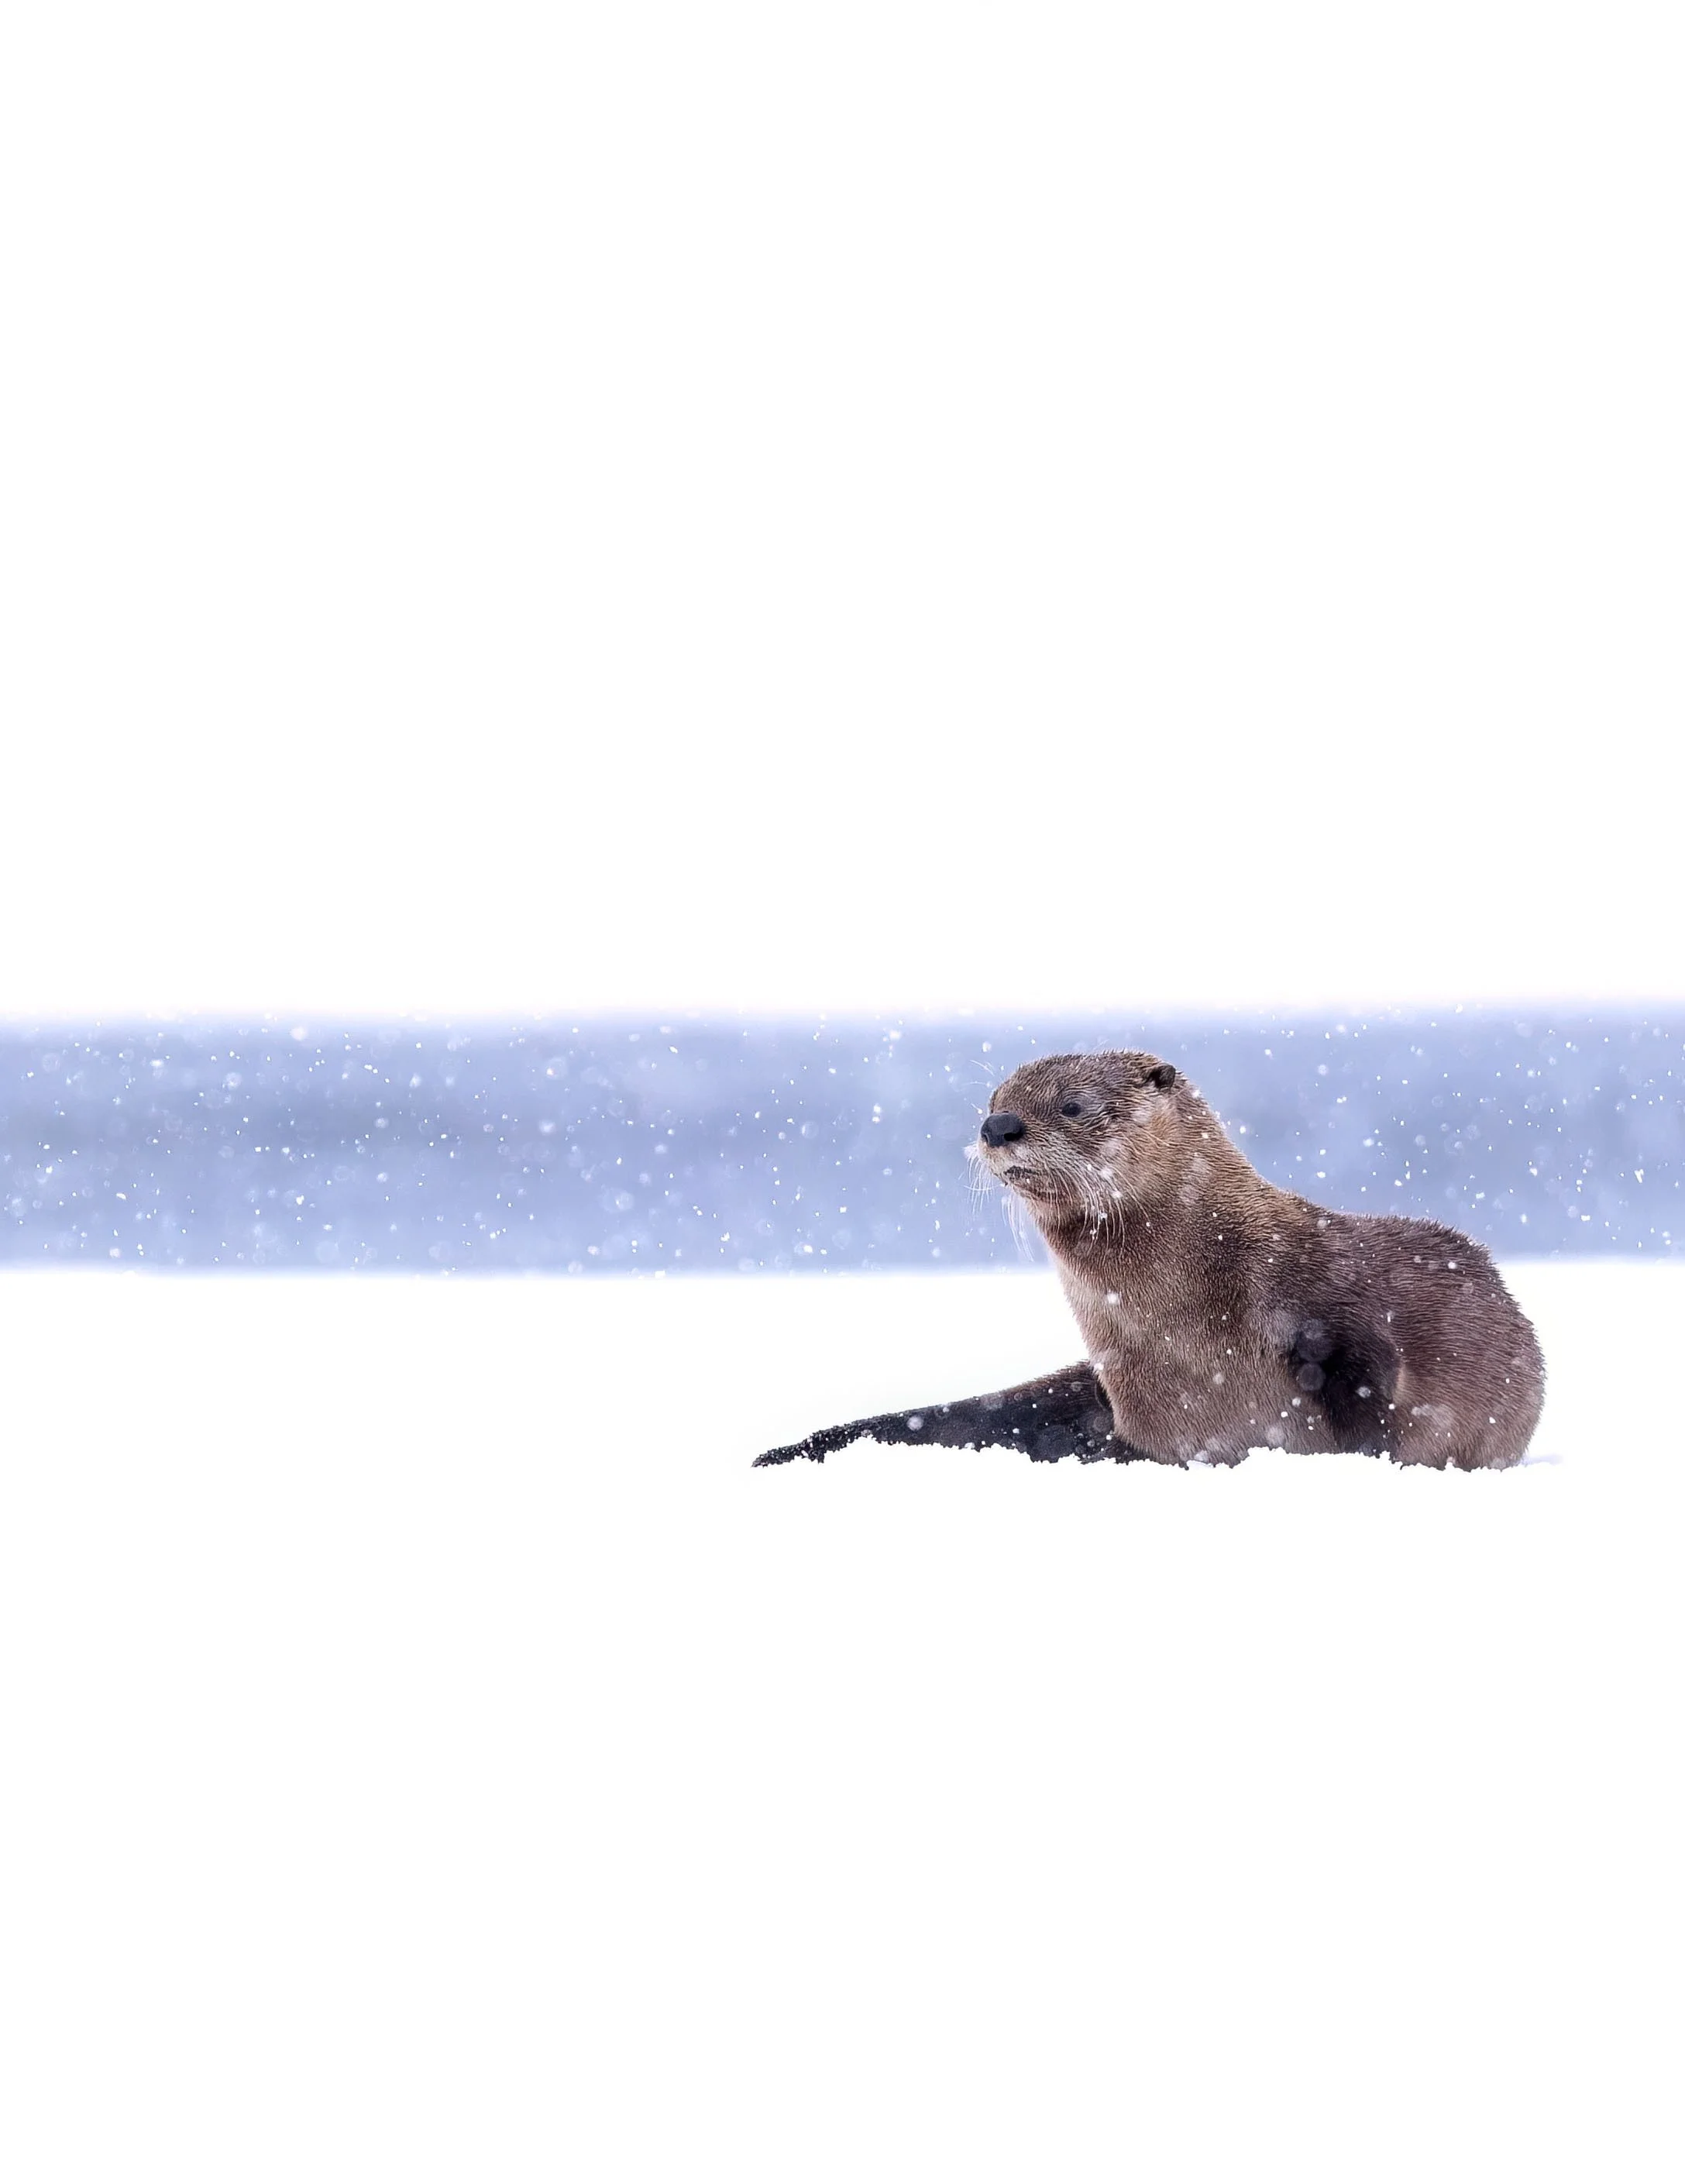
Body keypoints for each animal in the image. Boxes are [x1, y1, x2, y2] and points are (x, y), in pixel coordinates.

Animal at [754, 1049, 1544, 1470]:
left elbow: (1370, 1381)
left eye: (1071, 1105)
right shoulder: (1140, 1402)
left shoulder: (1326, 1300)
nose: (997, 1125)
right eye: (994, 1096)